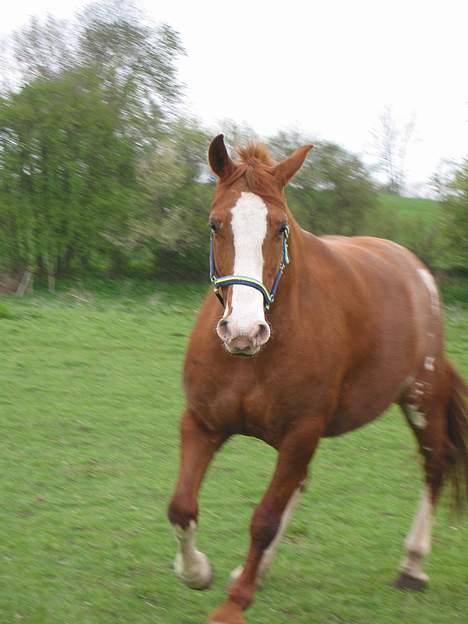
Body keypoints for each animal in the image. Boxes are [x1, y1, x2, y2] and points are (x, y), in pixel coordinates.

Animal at [166, 134, 466, 620]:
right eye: (215, 225)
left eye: (280, 228)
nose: (244, 330)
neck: (253, 358)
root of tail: (414, 268)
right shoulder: (202, 423)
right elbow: (181, 507)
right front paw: (196, 571)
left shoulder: (301, 432)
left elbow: (264, 520)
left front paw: (234, 603)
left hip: (419, 397)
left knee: (434, 463)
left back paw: (412, 566)